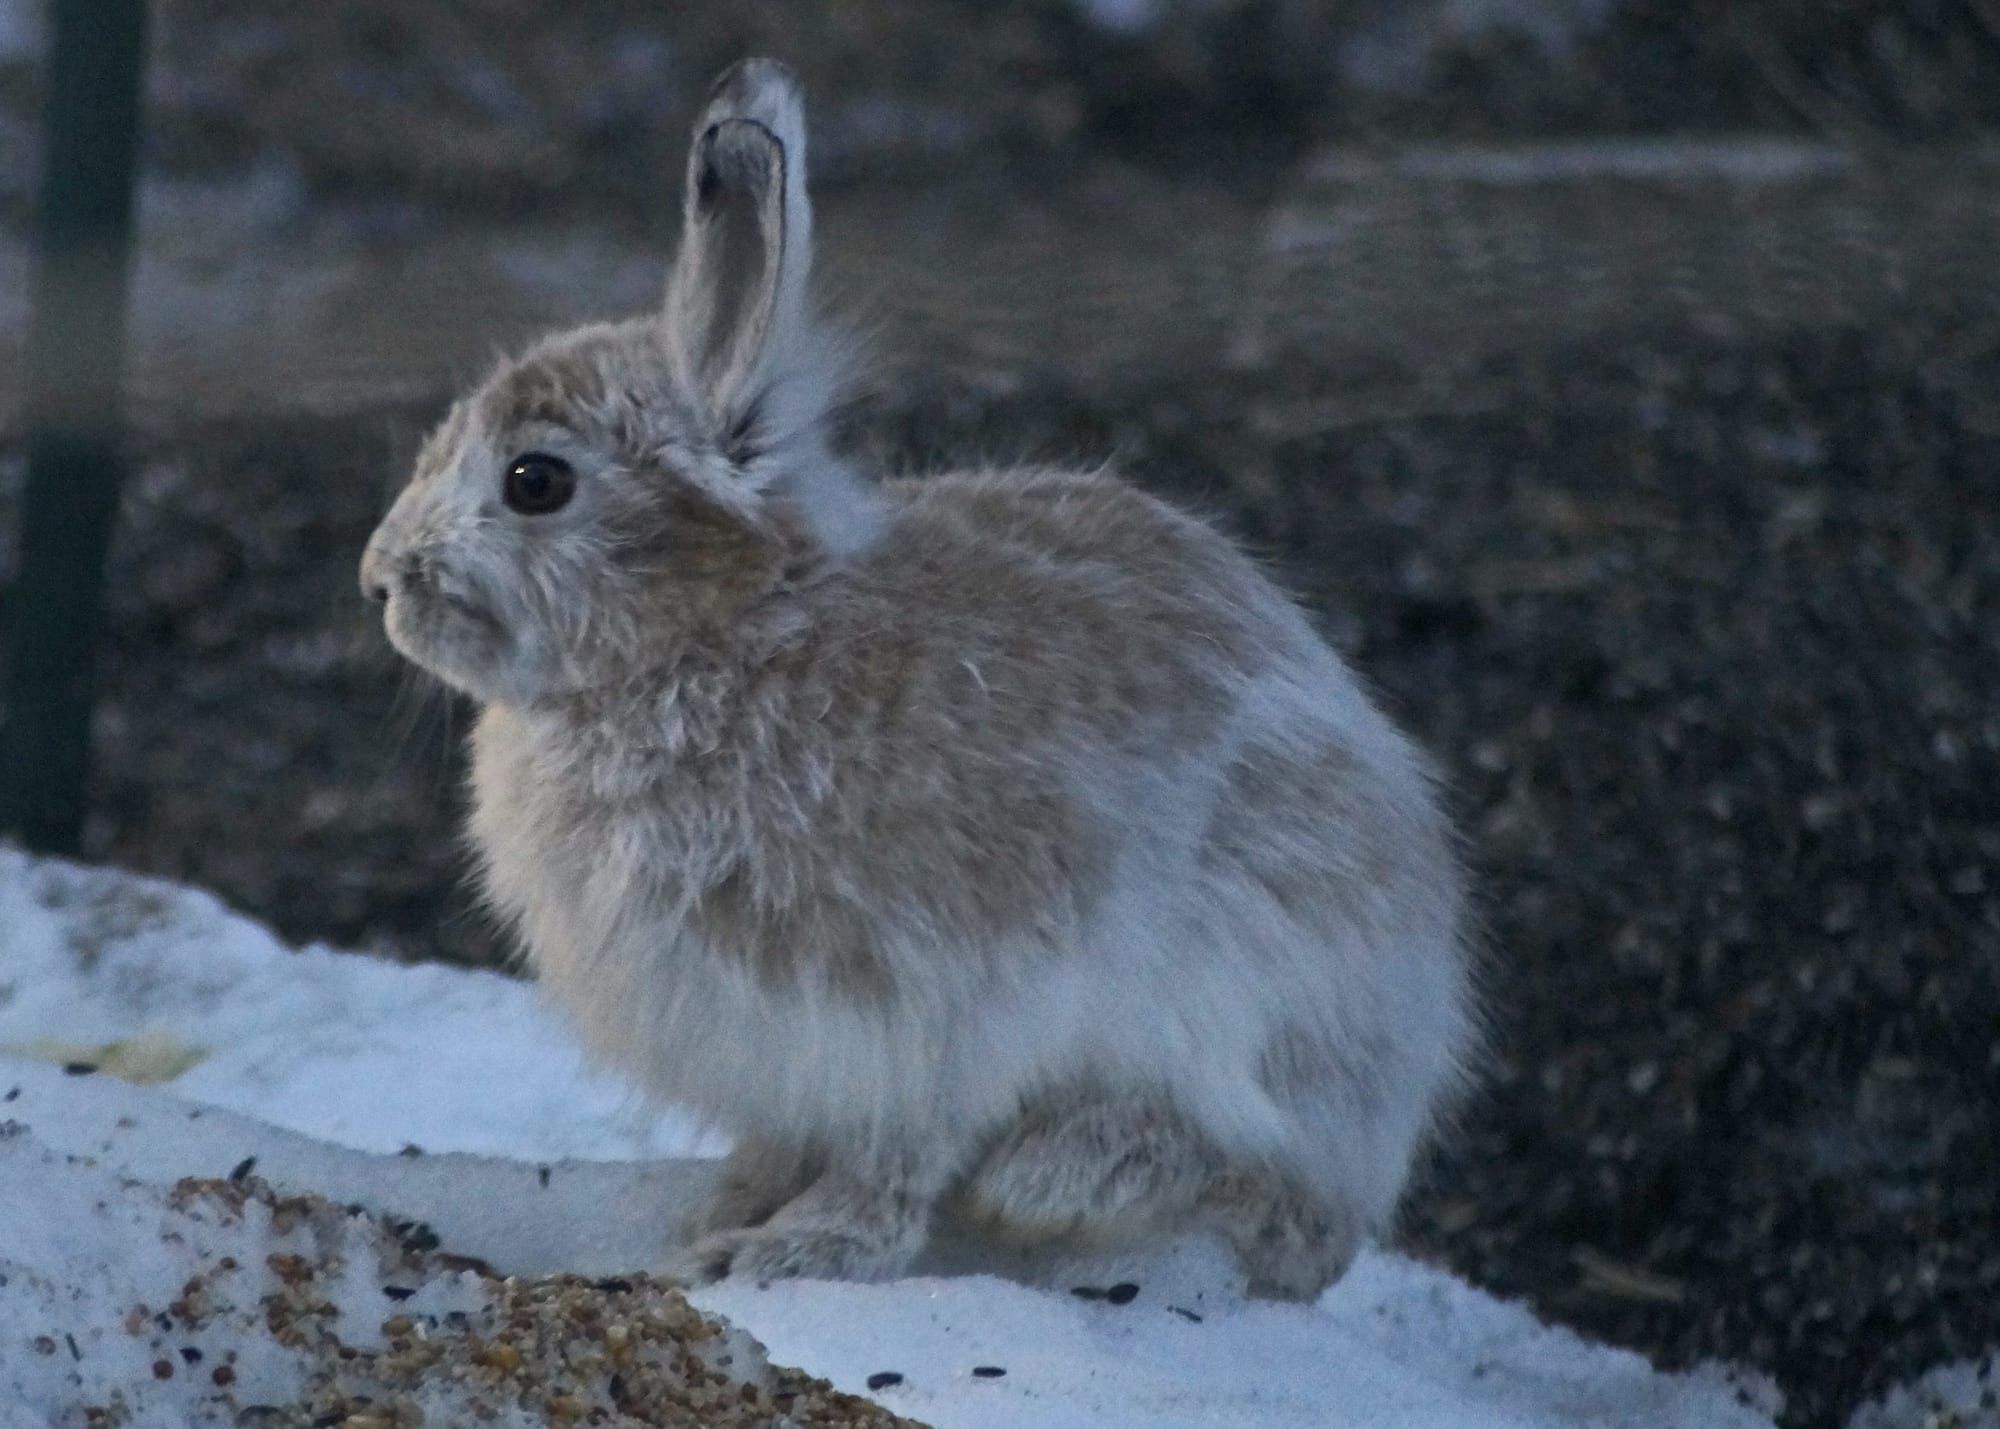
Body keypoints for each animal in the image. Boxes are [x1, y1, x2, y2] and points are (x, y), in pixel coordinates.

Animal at [359, 57, 1477, 1300]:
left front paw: (795, 1249)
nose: (378, 578)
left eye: (534, 481)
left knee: (1234, 1164)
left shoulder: (931, 1009)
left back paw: (1061, 1176)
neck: (720, 628)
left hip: (1247, 1000)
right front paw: (719, 1215)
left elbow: (894, 1163)